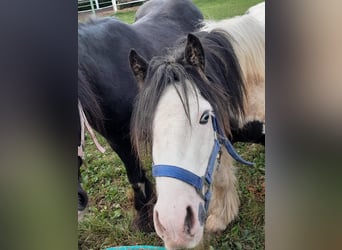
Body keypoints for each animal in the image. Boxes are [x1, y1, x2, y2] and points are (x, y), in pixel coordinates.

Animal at [130, 2, 266, 247]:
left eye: (204, 117)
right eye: (146, 128)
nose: (173, 226)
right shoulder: (222, 138)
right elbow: (221, 179)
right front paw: (221, 218)